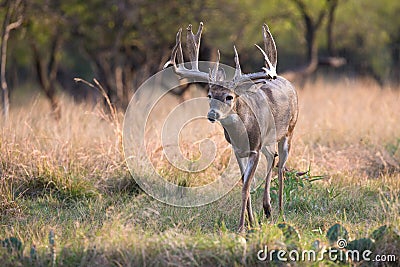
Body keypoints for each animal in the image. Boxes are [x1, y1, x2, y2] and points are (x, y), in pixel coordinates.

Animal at [162, 22, 296, 232]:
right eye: (210, 94)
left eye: (229, 96)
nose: (212, 115)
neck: (242, 133)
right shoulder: (237, 150)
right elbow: (243, 182)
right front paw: (251, 221)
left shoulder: (254, 149)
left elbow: (245, 186)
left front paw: (242, 227)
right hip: (267, 141)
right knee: (271, 156)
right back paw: (267, 208)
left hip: (289, 130)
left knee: (281, 165)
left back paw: (280, 211)